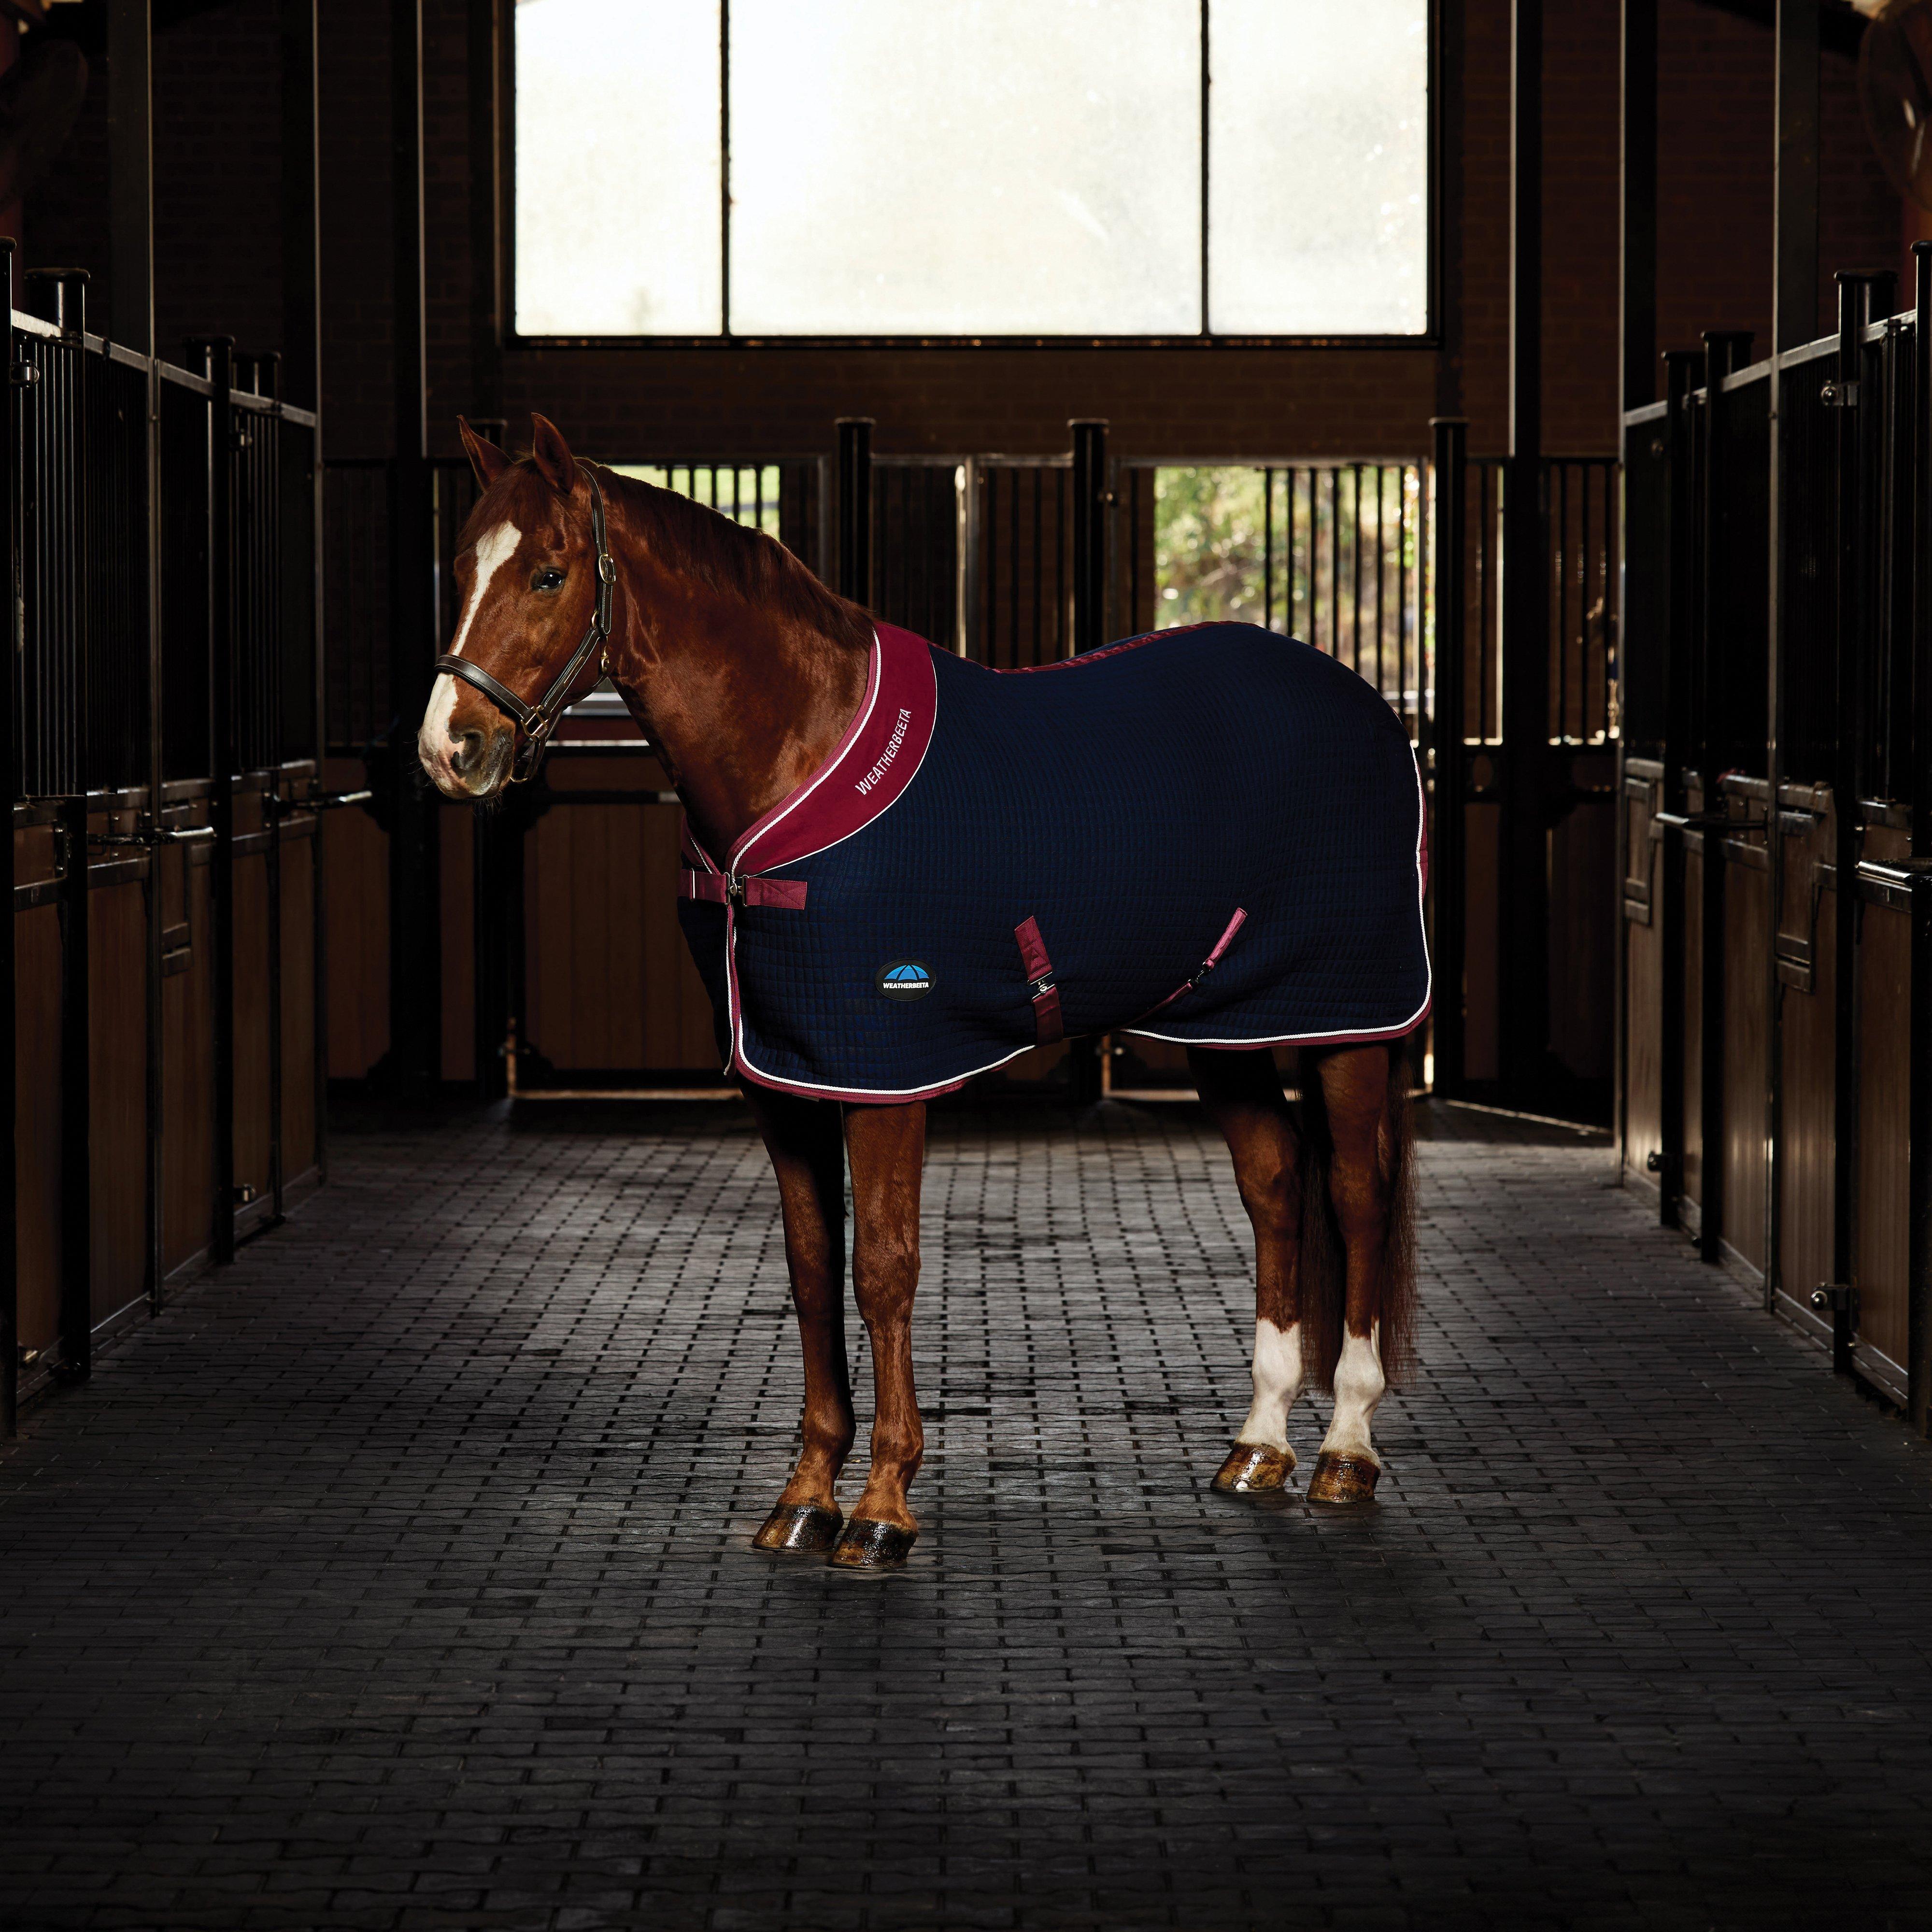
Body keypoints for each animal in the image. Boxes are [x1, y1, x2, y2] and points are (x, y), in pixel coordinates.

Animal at [417, 414, 1421, 1572]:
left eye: (547, 573)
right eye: (460, 568)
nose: (450, 748)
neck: (794, 750)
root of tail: (1362, 705)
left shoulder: (885, 1073)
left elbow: (882, 1270)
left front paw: (883, 1505)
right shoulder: (784, 1076)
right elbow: (812, 1270)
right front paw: (804, 1496)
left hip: (1348, 1017)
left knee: (1355, 1194)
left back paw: (1347, 1448)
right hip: (1224, 1027)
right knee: (1274, 1186)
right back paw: (1257, 1444)